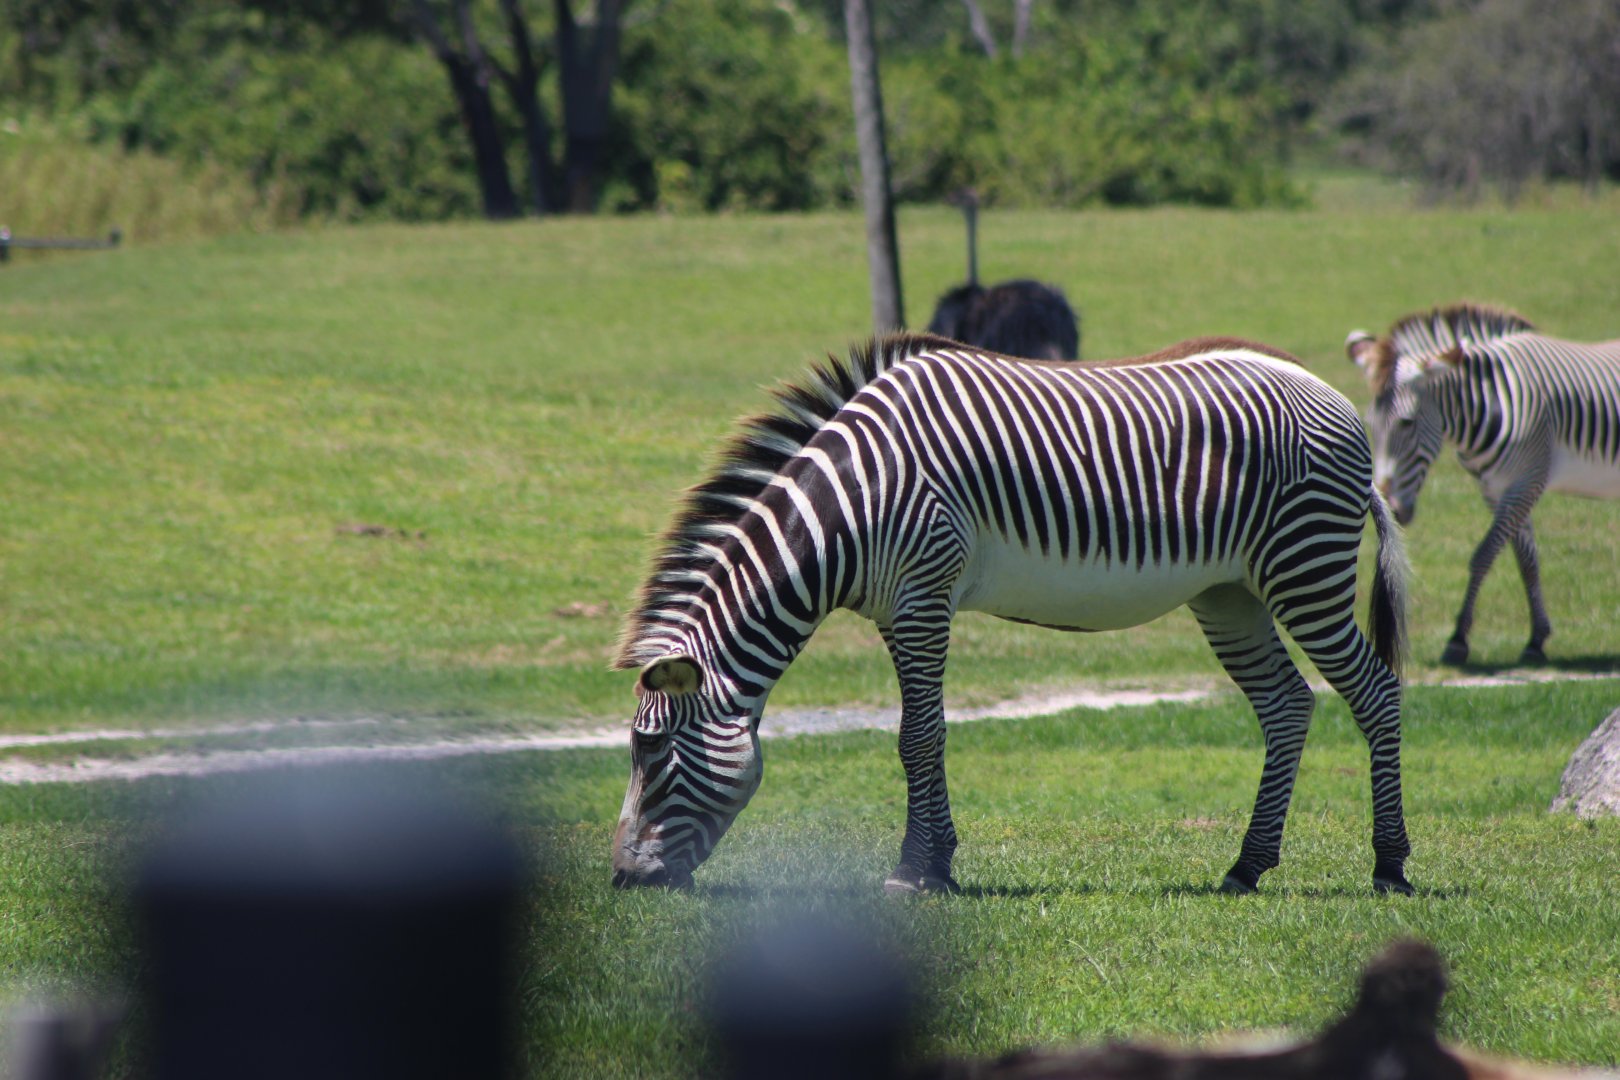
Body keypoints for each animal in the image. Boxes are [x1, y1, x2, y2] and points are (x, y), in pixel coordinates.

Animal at [612, 334, 1413, 896]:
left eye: (651, 750)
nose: (622, 879)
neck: (852, 504)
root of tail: (1332, 396)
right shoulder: (898, 609)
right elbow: (923, 737)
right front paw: (940, 864)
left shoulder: (923, 593)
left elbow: (917, 738)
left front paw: (914, 870)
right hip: (1231, 593)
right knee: (1286, 706)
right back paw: (1247, 867)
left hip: (1304, 568)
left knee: (1376, 692)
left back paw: (1390, 865)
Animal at [1347, 303, 1620, 666]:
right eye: (1370, 425)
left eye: (1406, 422)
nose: (1391, 510)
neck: (1490, 404)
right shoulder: (1496, 488)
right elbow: (1527, 560)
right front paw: (1536, 639)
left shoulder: (1527, 480)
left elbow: (1484, 554)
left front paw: (1458, 639)